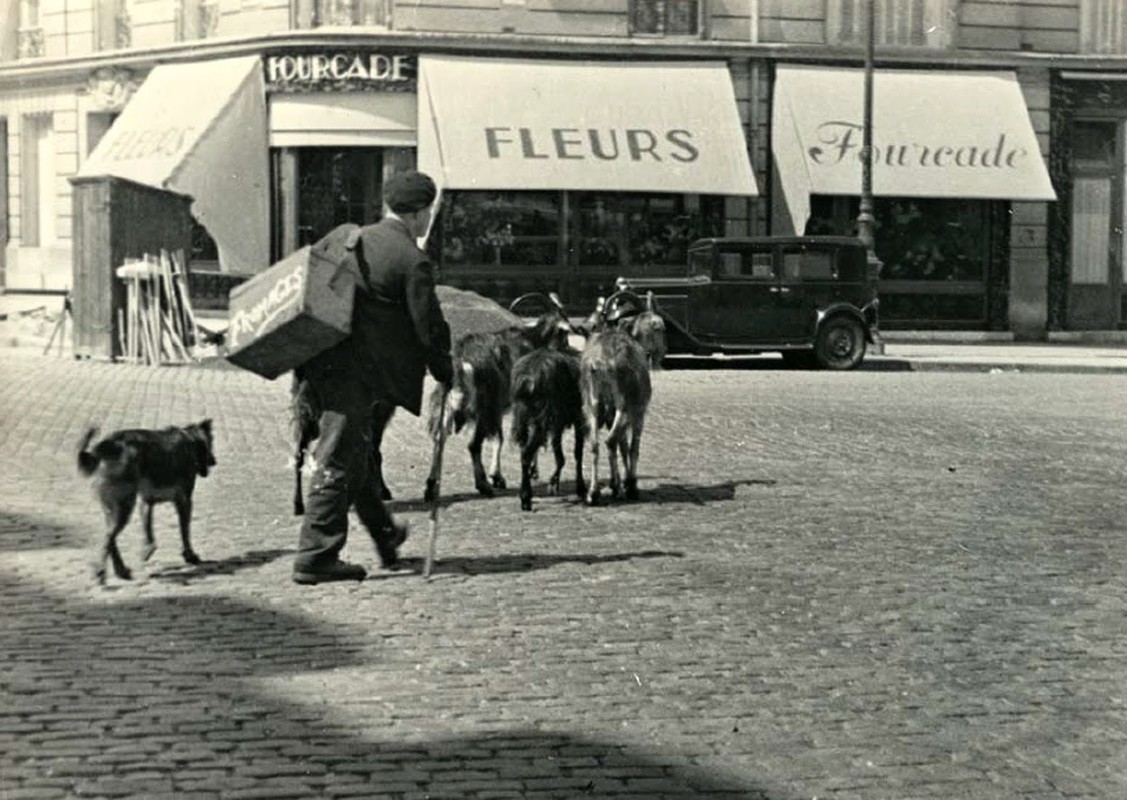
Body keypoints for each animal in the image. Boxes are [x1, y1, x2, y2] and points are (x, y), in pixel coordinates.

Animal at [426, 297, 577, 504]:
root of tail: (460, 361)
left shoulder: (500, 407)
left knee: (438, 439)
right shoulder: (511, 404)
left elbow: (500, 437)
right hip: (484, 405)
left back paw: (431, 487)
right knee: (473, 445)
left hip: (446, 404)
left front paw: (502, 475)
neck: (533, 339)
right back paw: (483, 485)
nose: (568, 351)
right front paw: (504, 475)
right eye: (564, 334)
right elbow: (511, 437)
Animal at [507, 347, 586, 511]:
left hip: (522, 418)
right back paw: (526, 498)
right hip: (542, 420)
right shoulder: (579, 418)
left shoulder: (557, 424)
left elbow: (559, 453)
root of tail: (527, 379)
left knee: (524, 450)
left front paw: (554, 483)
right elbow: (578, 453)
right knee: (526, 453)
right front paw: (581, 489)